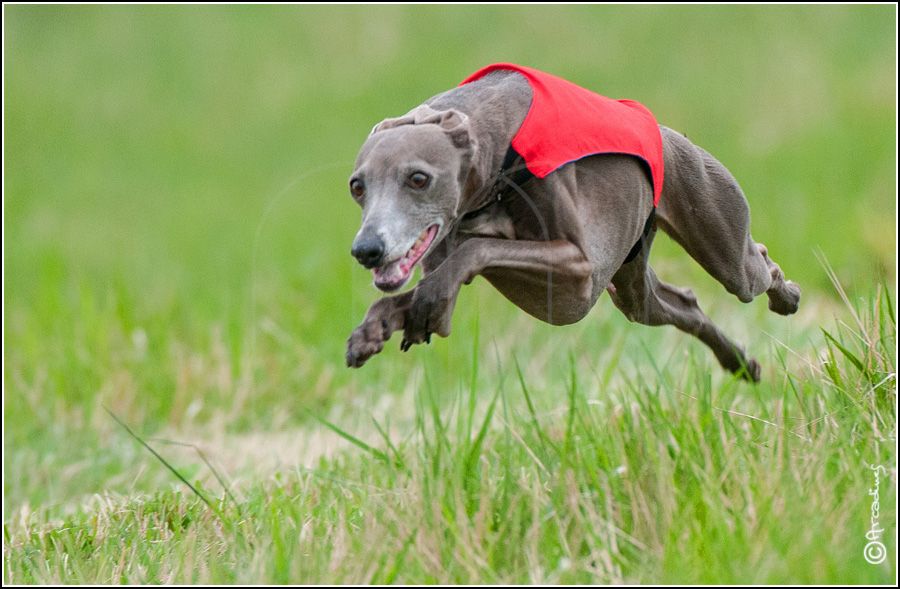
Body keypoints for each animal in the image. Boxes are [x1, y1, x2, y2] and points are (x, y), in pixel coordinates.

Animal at [344, 63, 800, 381]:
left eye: (418, 178)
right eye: (357, 186)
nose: (367, 250)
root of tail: (668, 133)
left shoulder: (579, 268)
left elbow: (478, 248)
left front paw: (424, 305)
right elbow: (412, 294)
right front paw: (372, 331)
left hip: (722, 242)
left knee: (756, 266)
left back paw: (787, 296)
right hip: (633, 290)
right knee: (682, 304)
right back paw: (739, 363)